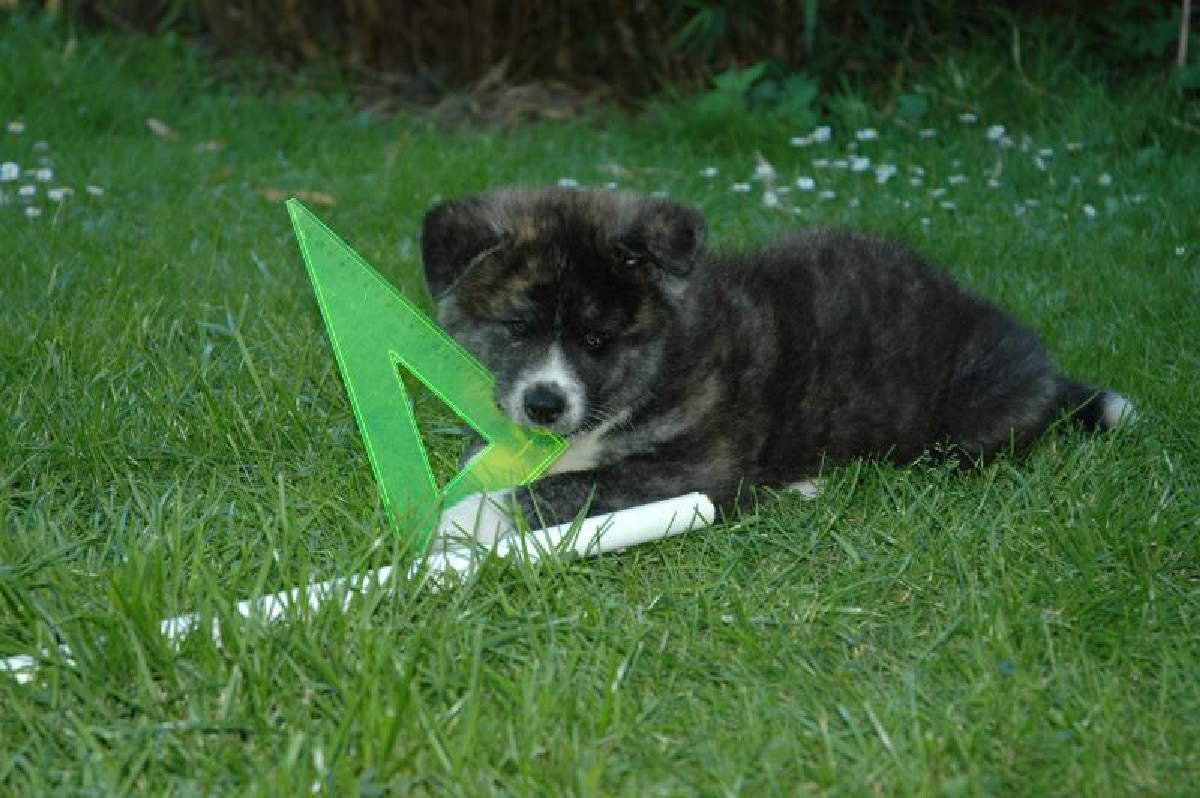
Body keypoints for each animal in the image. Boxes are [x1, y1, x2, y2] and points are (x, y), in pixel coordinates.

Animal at [422, 186, 1133, 542]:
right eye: (517, 327)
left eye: (597, 340)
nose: (545, 404)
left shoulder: (693, 468)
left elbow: (561, 489)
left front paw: (461, 519)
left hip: (969, 414)